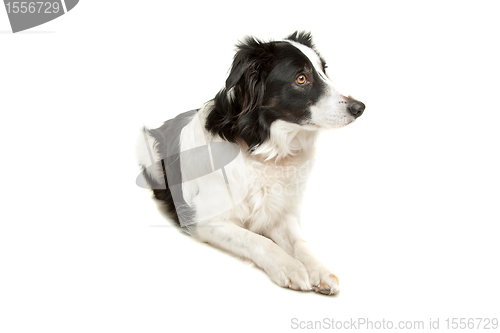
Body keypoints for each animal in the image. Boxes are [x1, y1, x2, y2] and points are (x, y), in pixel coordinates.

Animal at [139, 32, 366, 294]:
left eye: (324, 71)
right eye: (301, 78)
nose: (360, 107)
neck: (264, 148)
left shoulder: (278, 211)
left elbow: (299, 242)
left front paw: (319, 270)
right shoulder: (206, 221)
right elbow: (257, 240)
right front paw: (290, 268)